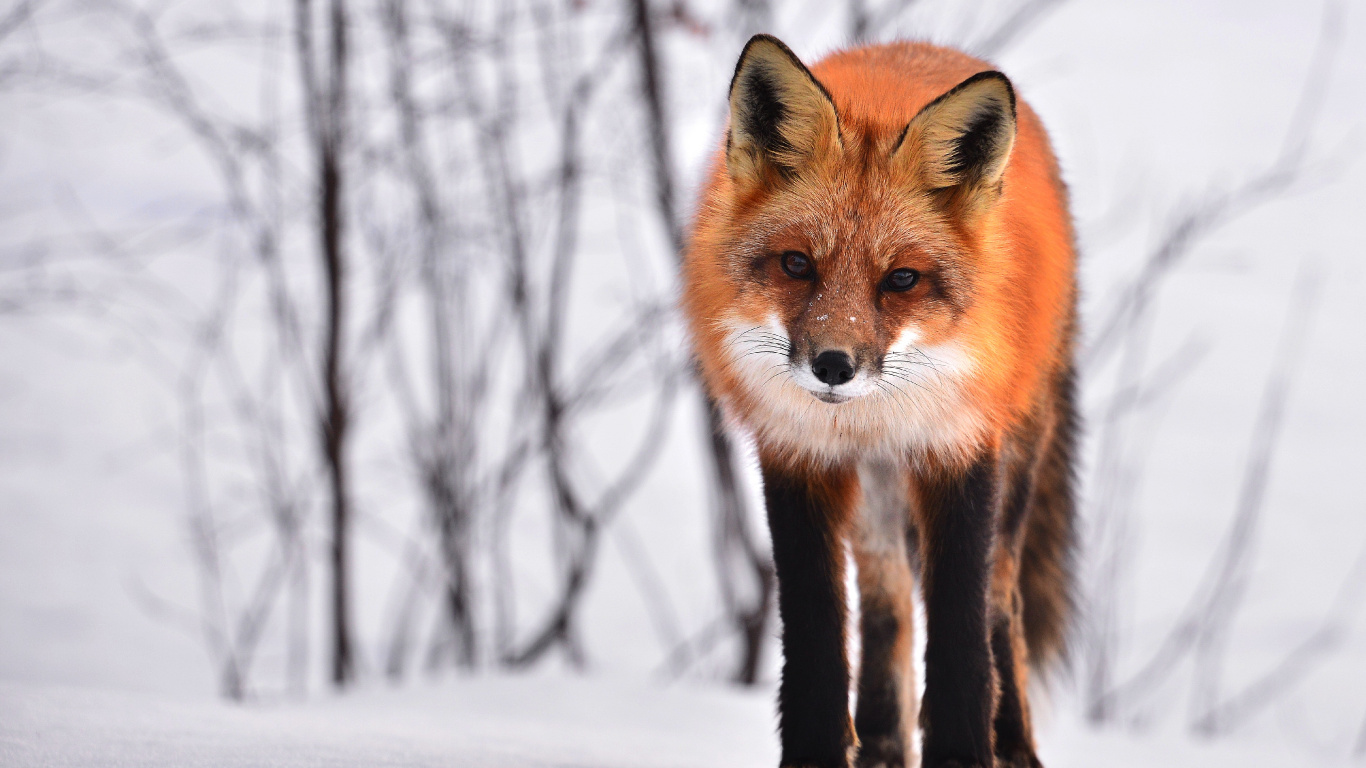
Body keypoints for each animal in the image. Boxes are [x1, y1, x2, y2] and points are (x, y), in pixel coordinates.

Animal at [683, 34, 1076, 765]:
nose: (833, 366)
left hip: (1014, 466)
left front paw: (965, 752)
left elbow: (961, 644)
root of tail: (919, 45)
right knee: (886, 604)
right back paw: (884, 744)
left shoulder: (960, 452)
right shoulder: (798, 458)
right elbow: (817, 644)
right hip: (873, 500)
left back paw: (1014, 745)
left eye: (901, 279)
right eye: (797, 264)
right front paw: (819, 751)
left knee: (1001, 606)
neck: (872, 416)